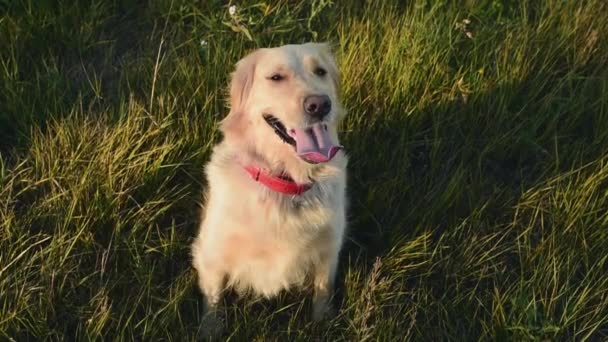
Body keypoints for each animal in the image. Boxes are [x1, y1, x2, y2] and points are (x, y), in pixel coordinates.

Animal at [192, 41, 350, 328]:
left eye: (320, 71)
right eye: (276, 77)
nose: (320, 105)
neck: (285, 182)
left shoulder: (329, 249)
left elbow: (323, 290)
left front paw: (322, 324)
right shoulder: (210, 253)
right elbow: (213, 300)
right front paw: (210, 330)